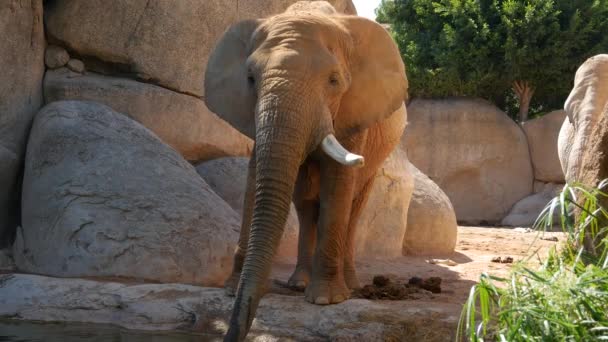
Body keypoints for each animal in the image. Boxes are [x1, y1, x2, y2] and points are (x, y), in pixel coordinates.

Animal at [204, 2, 408, 340]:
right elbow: (256, 176)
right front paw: (231, 289)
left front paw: (326, 300)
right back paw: (298, 282)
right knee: (305, 203)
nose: (231, 332)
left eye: (334, 80)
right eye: (250, 78)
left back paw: (350, 285)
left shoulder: (353, 111)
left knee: (353, 207)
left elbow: (338, 182)